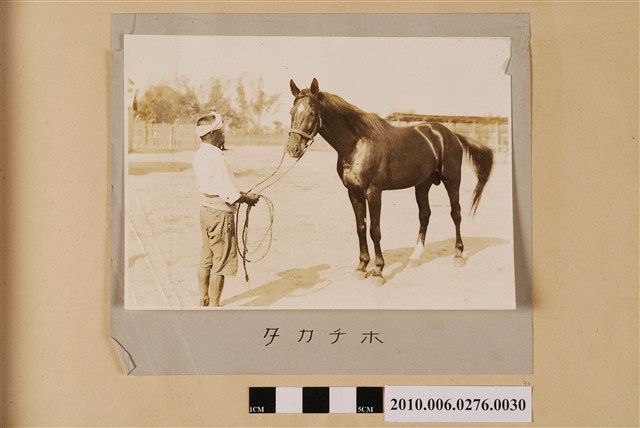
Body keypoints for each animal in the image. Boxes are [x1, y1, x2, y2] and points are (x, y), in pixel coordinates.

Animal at [286, 78, 494, 282]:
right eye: (291, 112)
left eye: (311, 113)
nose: (293, 148)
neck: (358, 143)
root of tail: (451, 135)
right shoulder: (353, 193)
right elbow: (361, 227)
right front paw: (362, 267)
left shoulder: (374, 192)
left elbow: (374, 230)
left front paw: (378, 270)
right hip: (422, 185)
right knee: (424, 215)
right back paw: (414, 257)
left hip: (452, 180)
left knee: (455, 213)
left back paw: (458, 255)